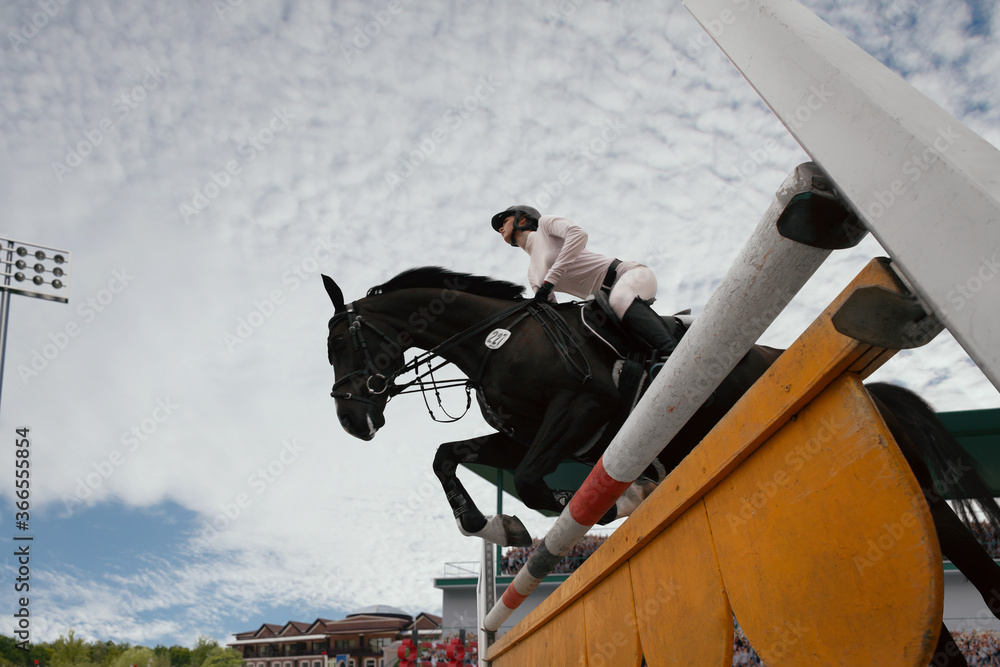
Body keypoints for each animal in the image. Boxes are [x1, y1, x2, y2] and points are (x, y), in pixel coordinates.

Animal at [326, 264, 1000, 664]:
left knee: (963, 551)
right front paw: (494, 525)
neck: (498, 339)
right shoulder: (525, 435)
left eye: (340, 343)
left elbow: (537, 483)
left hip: (908, 481)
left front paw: (608, 503)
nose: (352, 421)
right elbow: (449, 456)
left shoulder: (580, 408)